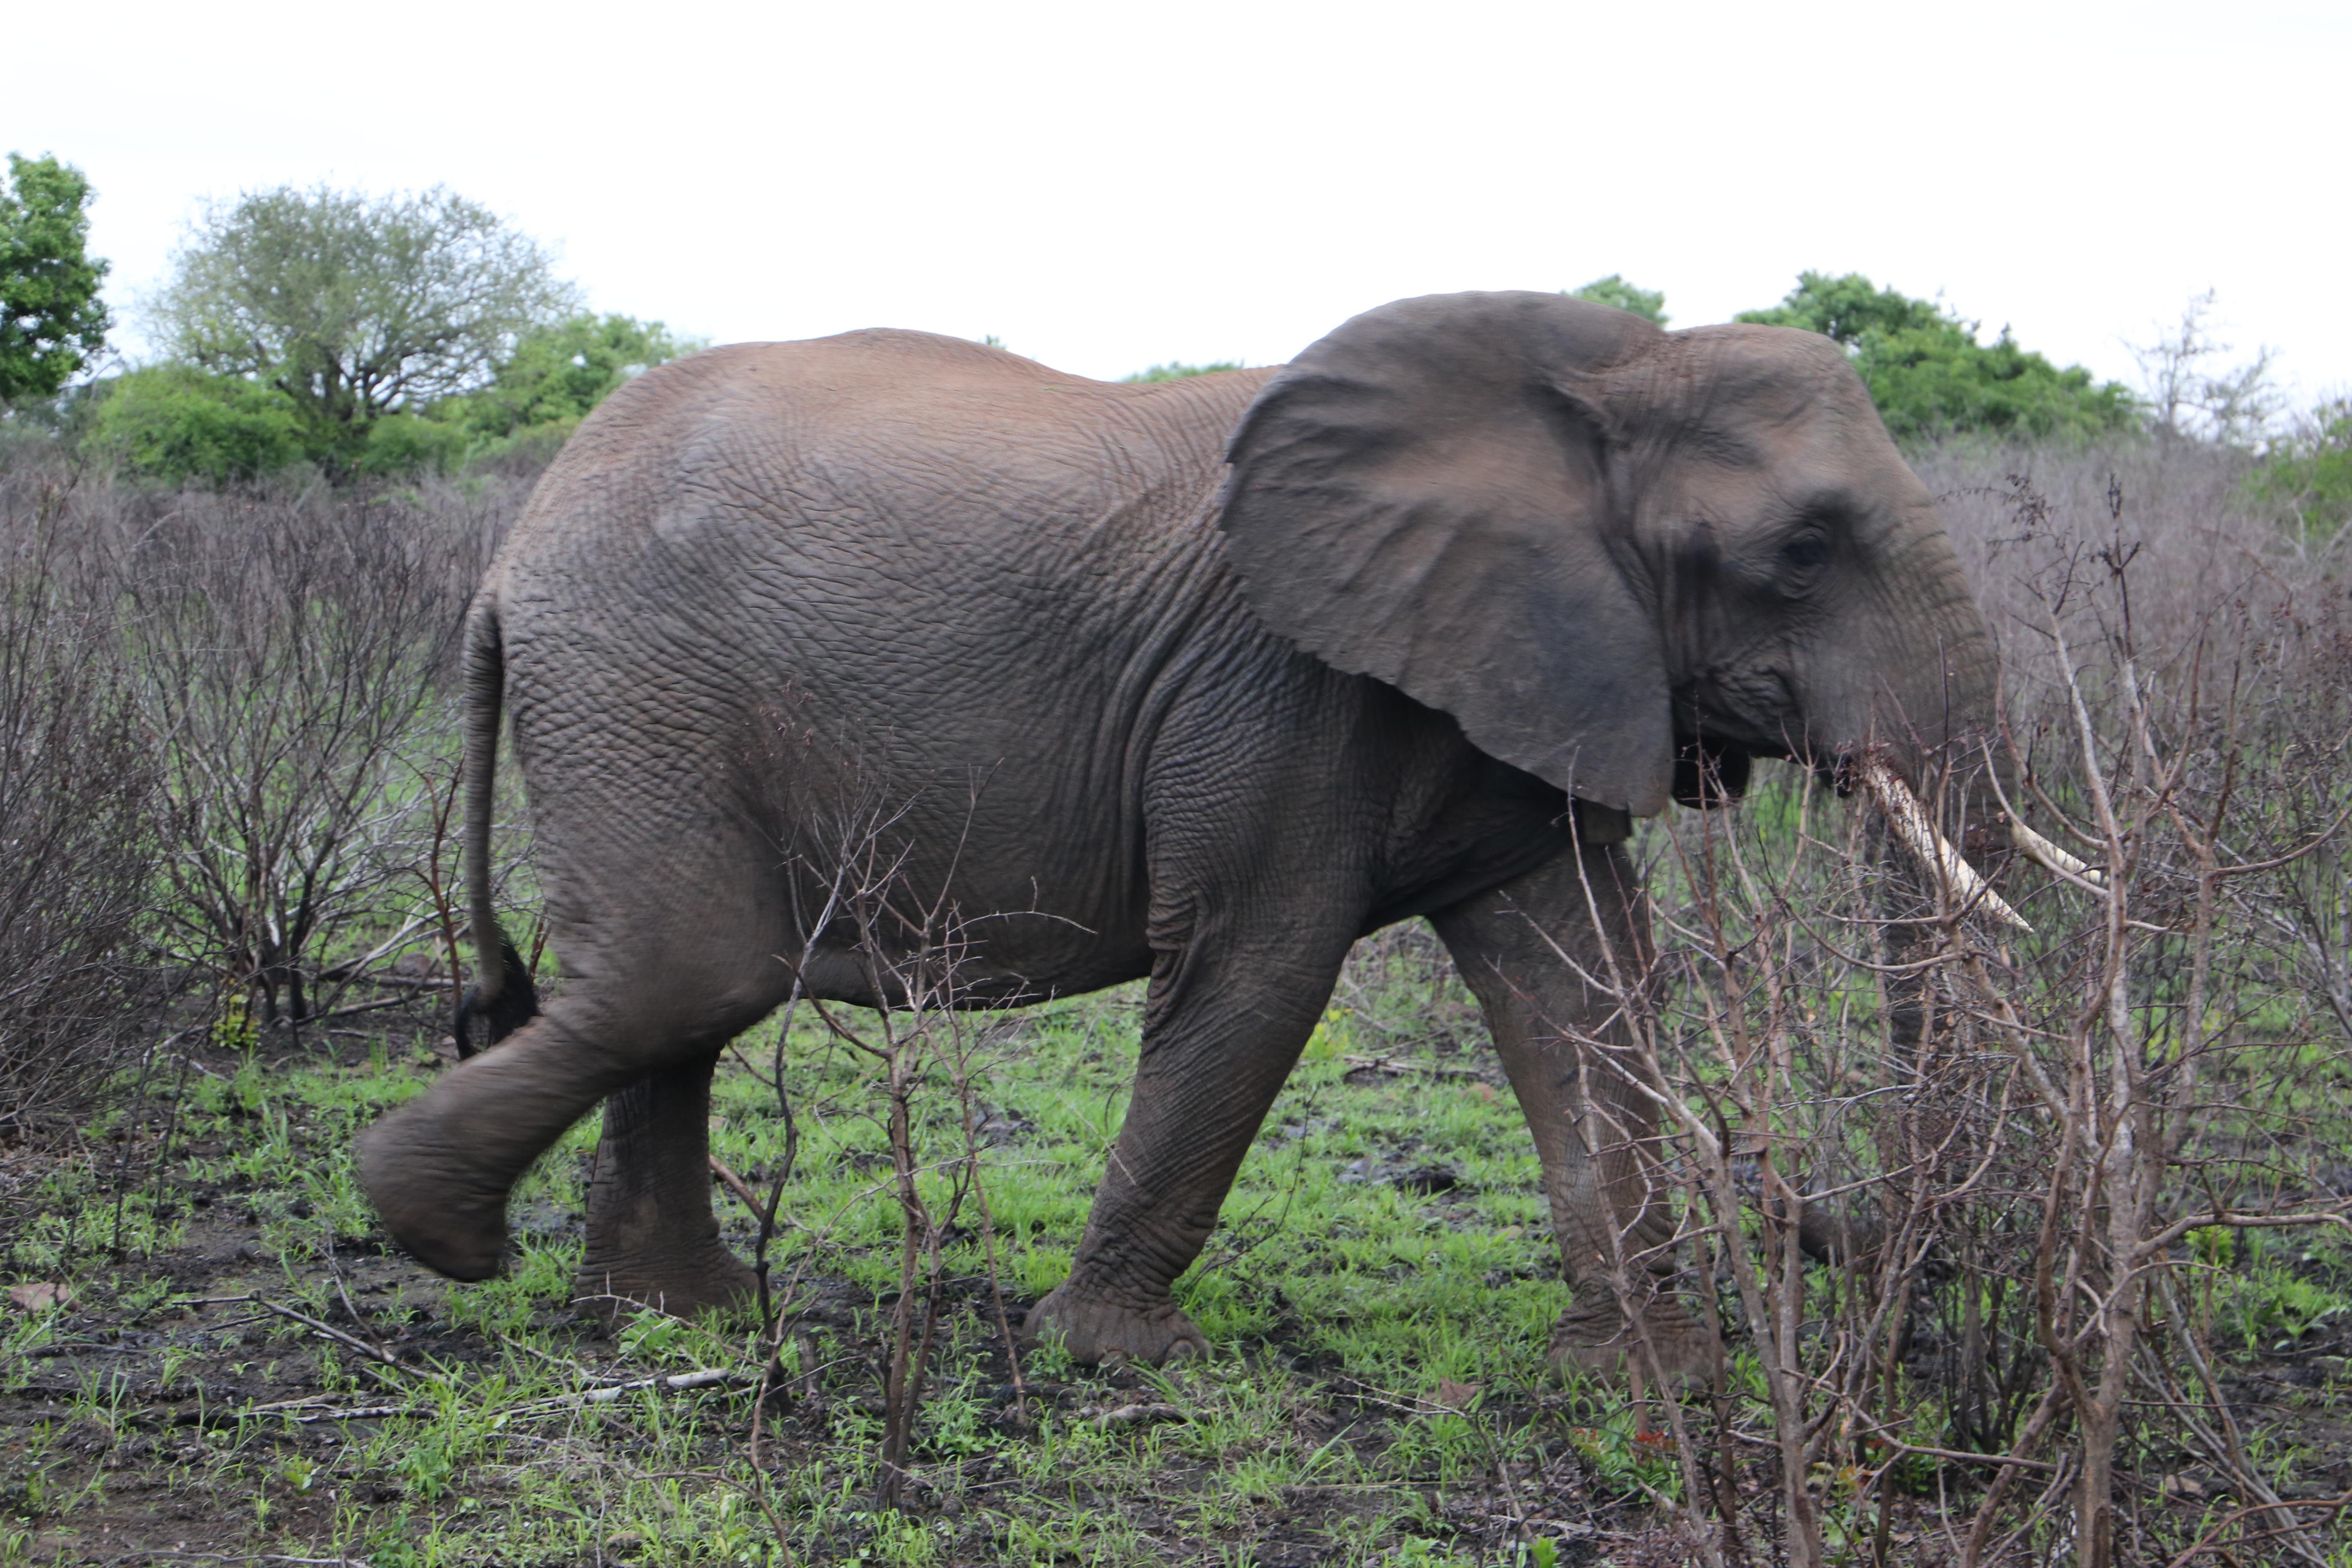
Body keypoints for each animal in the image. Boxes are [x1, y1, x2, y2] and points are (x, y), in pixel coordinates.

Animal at [357, 289, 2012, 1382]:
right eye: (1802, 550)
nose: (1824, 1227)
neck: (1597, 366)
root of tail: (510, 553)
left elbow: (1581, 980)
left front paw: (1647, 1375)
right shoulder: (1281, 680)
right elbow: (1258, 968)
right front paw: (1113, 1355)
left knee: (674, 995)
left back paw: (675, 1315)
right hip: (636, 688)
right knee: (688, 972)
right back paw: (438, 1230)